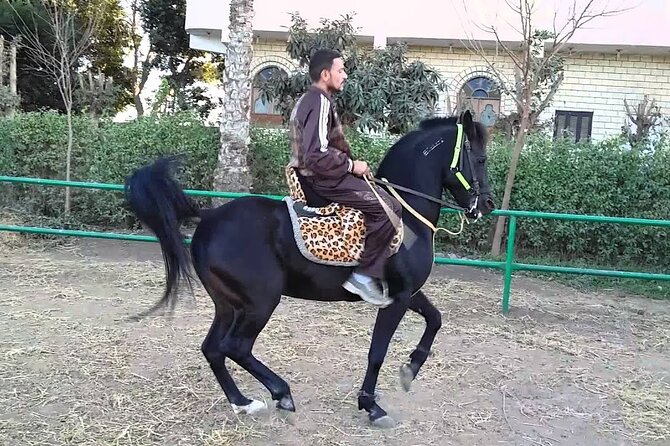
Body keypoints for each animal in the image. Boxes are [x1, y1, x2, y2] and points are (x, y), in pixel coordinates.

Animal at [123, 109, 496, 428]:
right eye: (480, 159)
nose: (488, 205)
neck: (404, 213)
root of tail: (209, 216)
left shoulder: (403, 293)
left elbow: (435, 319)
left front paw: (410, 369)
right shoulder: (399, 298)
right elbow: (377, 352)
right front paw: (371, 406)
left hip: (229, 305)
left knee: (213, 348)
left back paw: (243, 403)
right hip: (260, 302)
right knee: (236, 347)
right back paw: (281, 394)